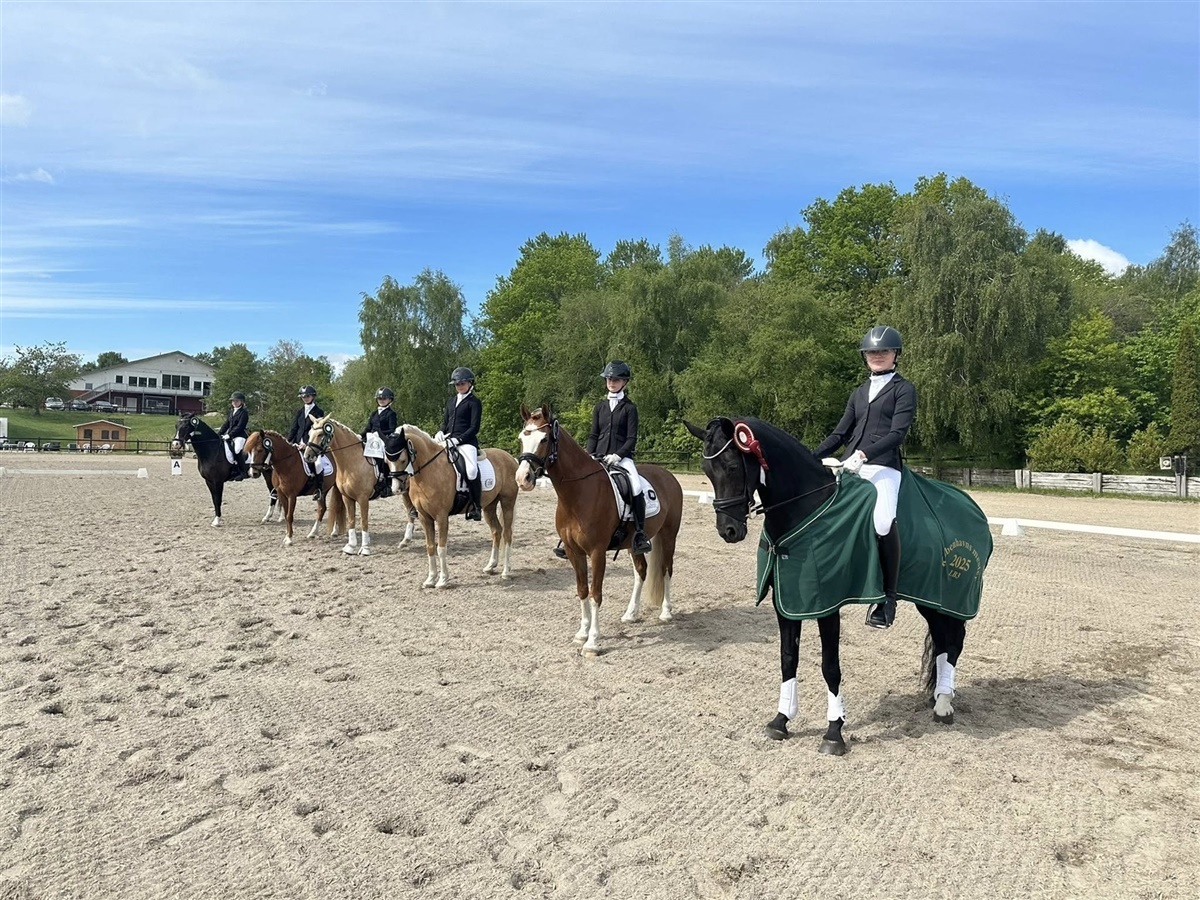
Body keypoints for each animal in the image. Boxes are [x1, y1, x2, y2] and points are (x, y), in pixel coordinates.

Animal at [383, 425, 520, 587]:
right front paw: (430, 579)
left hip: (507, 502)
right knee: (496, 531)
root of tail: (510, 458)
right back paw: (490, 566)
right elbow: (430, 547)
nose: (396, 488)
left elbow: (441, 548)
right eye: (386, 461)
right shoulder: (424, 517)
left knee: (507, 533)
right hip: (489, 507)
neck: (428, 471)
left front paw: (442, 580)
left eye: (403, 459)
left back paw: (506, 572)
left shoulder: (441, 516)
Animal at [515, 404, 684, 657]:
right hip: (635, 543)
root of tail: (668, 475)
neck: (578, 494)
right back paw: (631, 614)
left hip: (668, 536)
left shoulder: (596, 552)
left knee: (666, 569)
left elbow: (596, 593)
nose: (522, 479)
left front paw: (593, 642)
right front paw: (581, 633)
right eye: (521, 438)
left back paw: (666, 612)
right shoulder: (574, 551)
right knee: (641, 571)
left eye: (544, 439)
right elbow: (582, 589)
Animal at [687, 416, 991, 755]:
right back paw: (938, 697)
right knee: (942, 641)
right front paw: (781, 720)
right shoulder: (786, 602)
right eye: (706, 469)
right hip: (929, 598)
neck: (806, 506)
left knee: (953, 642)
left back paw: (944, 706)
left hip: (951, 598)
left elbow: (830, 665)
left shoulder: (827, 604)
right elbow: (787, 659)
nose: (728, 530)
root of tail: (971, 505)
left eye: (732, 466)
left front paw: (834, 731)